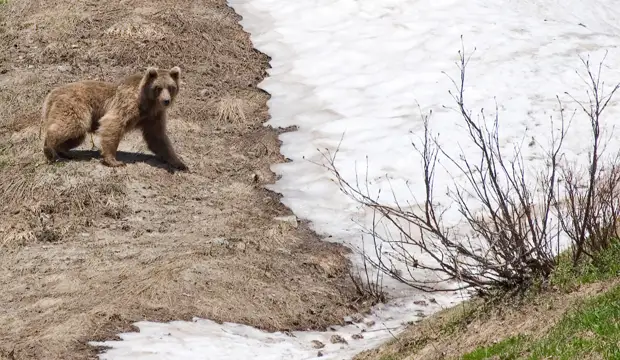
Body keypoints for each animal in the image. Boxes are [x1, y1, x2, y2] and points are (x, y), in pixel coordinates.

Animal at [41, 67, 188, 171]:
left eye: (171, 87)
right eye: (158, 87)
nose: (166, 101)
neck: (147, 105)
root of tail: (52, 94)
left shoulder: (153, 118)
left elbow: (158, 138)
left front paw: (180, 163)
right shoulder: (127, 104)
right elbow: (113, 123)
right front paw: (115, 161)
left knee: (76, 135)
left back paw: (66, 152)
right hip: (76, 106)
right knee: (71, 125)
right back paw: (49, 149)